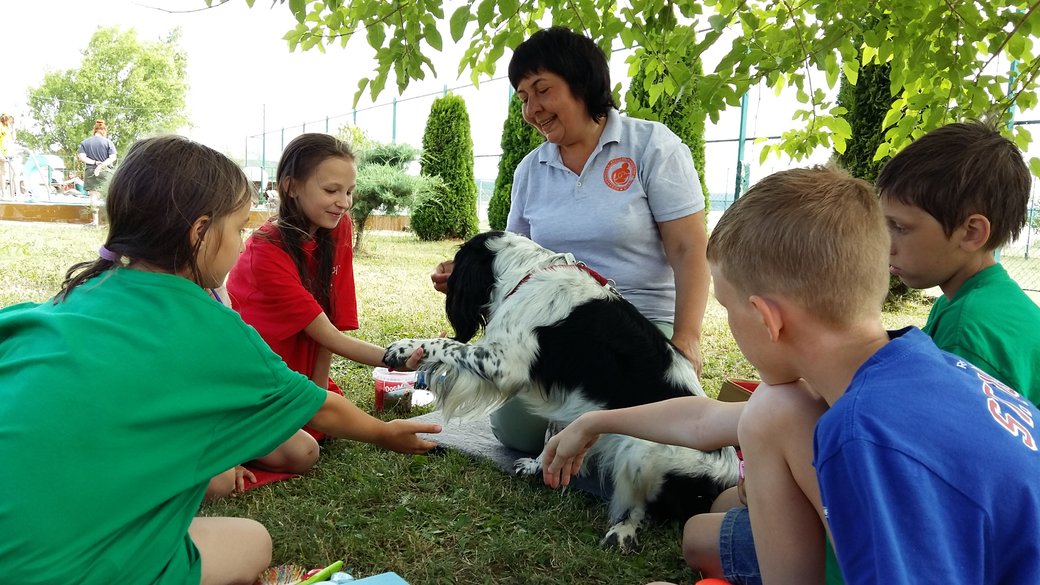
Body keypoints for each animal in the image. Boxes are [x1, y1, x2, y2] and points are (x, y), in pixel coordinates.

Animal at [388, 230, 740, 549]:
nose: (440, 273)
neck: (526, 275)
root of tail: (729, 480)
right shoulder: (567, 400)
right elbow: (555, 436)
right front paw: (540, 466)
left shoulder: (503, 364)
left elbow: (445, 344)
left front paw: (405, 348)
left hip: (643, 447)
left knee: (642, 507)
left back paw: (622, 531)